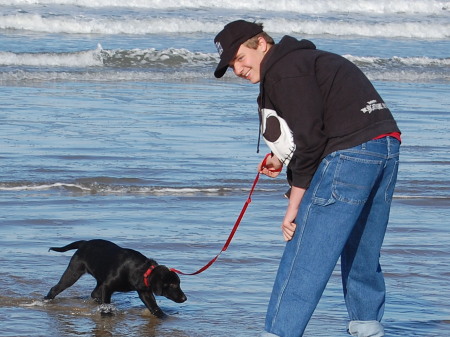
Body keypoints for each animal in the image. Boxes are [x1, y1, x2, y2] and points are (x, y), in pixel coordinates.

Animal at [44, 238, 186, 316]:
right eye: (173, 284)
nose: (184, 298)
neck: (143, 271)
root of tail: (84, 243)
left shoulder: (144, 292)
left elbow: (154, 307)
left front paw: (164, 317)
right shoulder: (108, 286)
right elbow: (106, 305)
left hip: (99, 279)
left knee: (94, 293)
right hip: (74, 271)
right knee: (56, 288)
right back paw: (46, 301)